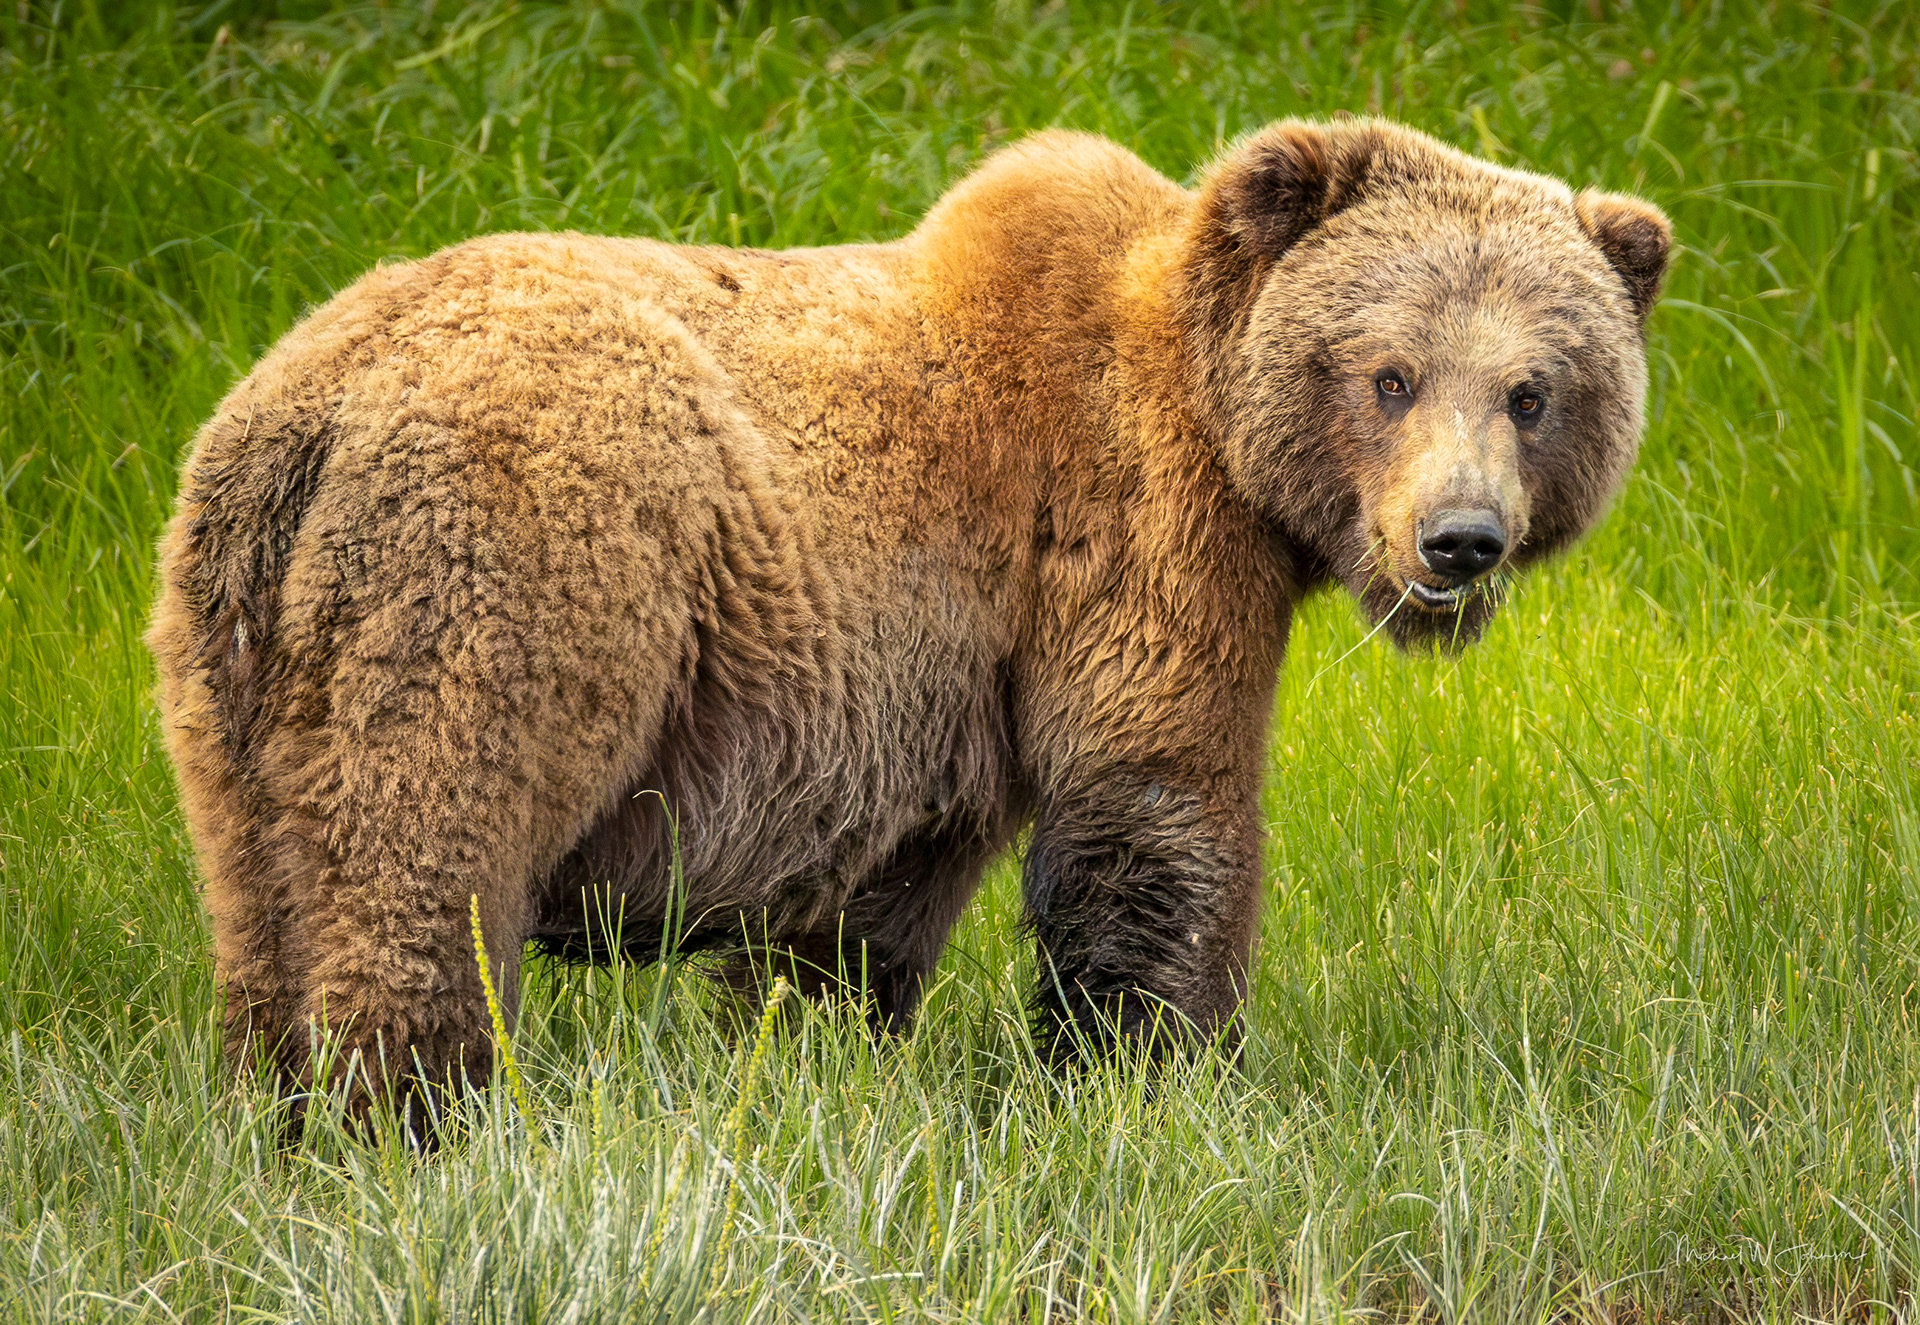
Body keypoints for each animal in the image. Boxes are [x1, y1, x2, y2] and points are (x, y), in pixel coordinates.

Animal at [147, 116, 1669, 1125]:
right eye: (1389, 374)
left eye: (1535, 390)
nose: (1459, 541)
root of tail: (313, 412)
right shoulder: (1123, 534)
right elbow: (1157, 807)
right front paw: (1155, 1072)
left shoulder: (922, 684)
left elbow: (862, 903)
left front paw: (815, 1059)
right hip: (517, 558)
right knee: (432, 845)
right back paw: (419, 1111)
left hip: (227, 641)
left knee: (259, 889)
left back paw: (273, 1106)